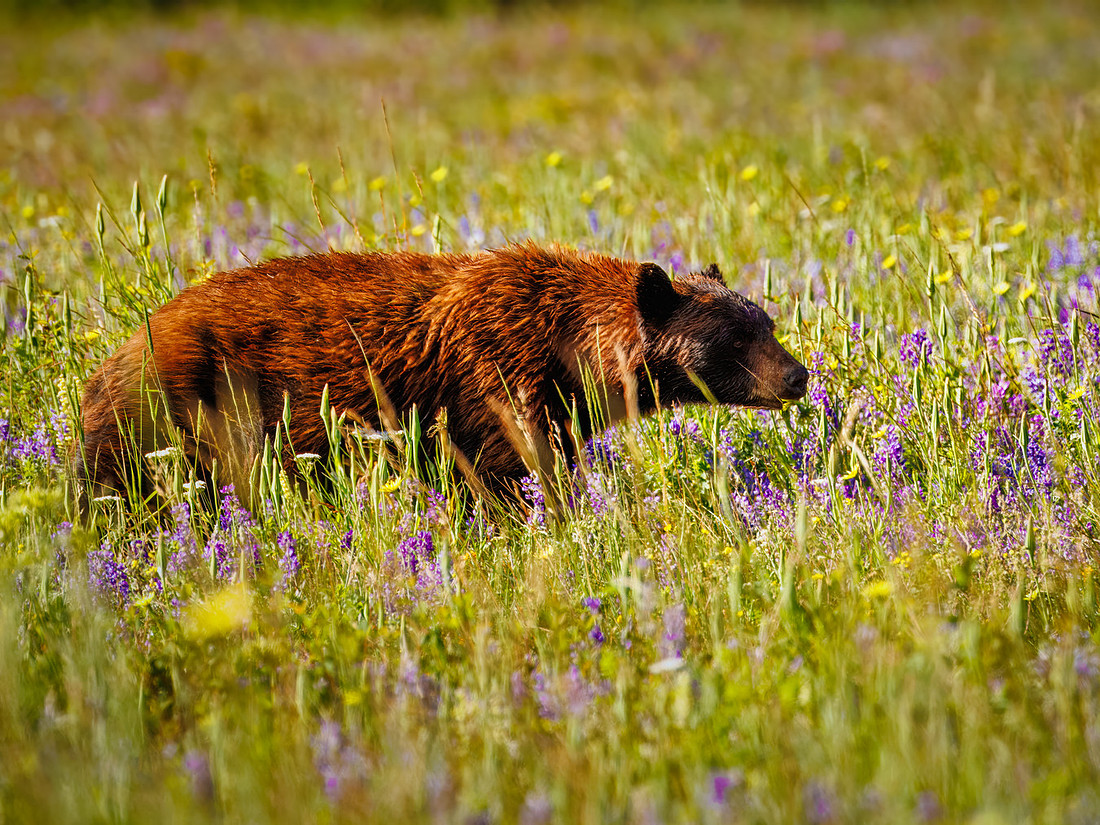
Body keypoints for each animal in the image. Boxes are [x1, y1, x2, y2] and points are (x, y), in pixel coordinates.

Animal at [75, 243, 808, 508]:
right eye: (736, 337)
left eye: (767, 322)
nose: (798, 376)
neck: (569, 345)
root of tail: (115, 353)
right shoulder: (499, 377)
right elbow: (508, 470)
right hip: (172, 416)